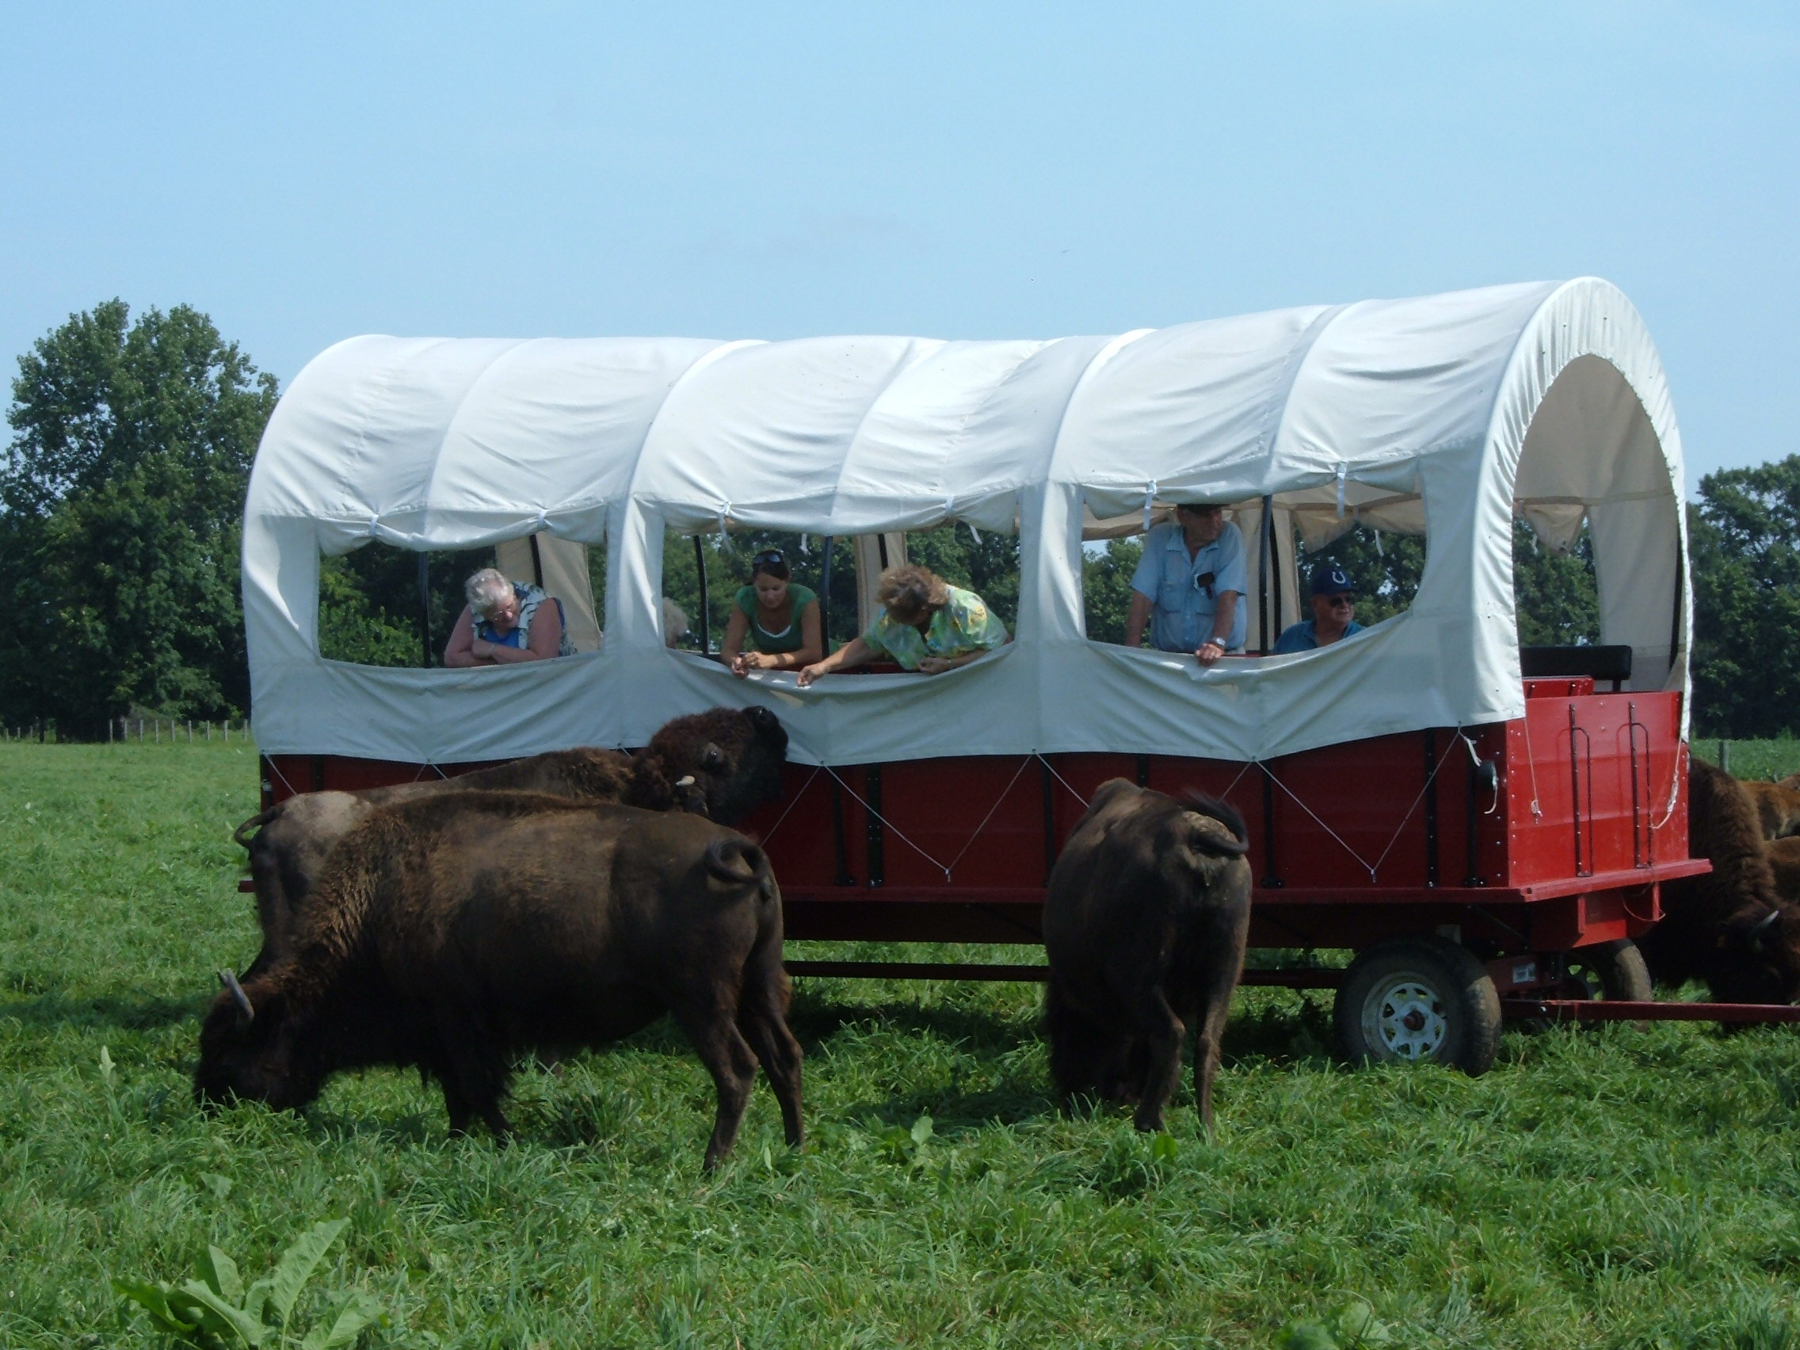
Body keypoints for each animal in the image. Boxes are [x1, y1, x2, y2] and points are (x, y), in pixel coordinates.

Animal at [195, 792, 802, 1173]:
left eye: (230, 1052)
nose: (204, 1105)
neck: (378, 900)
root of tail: (737, 848)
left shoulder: (457, 1023)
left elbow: (477, 1088)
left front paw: (502, 1139)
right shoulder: (447, 1035)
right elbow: (460, 1094)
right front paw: (457, 1140)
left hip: (701, 1003)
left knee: (738, 1069)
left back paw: (711, 1165)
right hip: (757, 990)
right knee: (784, 1057)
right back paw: (794, 1149)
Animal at [1044, 777, 1252, 1137]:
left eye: (1061, 1025)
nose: (1066, 1083)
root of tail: (1197, 836)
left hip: (1140, 980)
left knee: (1171, 1033)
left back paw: (1148, 1120)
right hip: (1223, 976)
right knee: (1206, 1042)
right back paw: (1206, 1126)